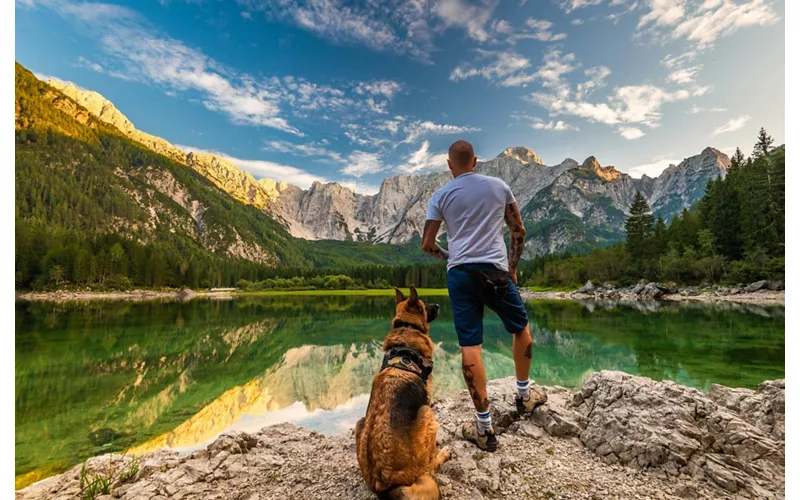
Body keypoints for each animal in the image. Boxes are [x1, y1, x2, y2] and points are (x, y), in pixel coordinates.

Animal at [354, 288, 450, 498]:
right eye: (424, 304)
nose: (439, 305)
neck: (407, 327)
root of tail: (386, 486)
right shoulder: (428, 397)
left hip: (359, 423)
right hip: (427, 413)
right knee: (430, 466)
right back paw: (443, 455)